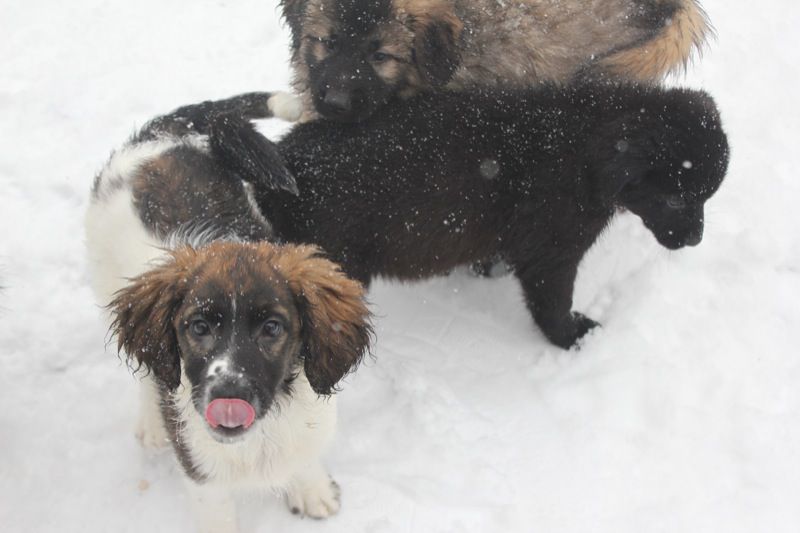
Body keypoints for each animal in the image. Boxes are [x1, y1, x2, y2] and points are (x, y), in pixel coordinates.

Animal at [86, 93, 374, 528]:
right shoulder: (202, 474)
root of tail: (155, 136)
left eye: (272, 328)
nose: (228, 395)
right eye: (198, 327)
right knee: (148, 366)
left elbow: (304, 454)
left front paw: (312, 489)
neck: (263, 433)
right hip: (106, 275)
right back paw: (152, 423)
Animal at [189, 84, 732, 348]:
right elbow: (552, 304)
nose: (696, 241)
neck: (588, 149)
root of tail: (284, 159)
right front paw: (573, 338)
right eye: (677, 199)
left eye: (706, 198)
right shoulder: (553, 251)